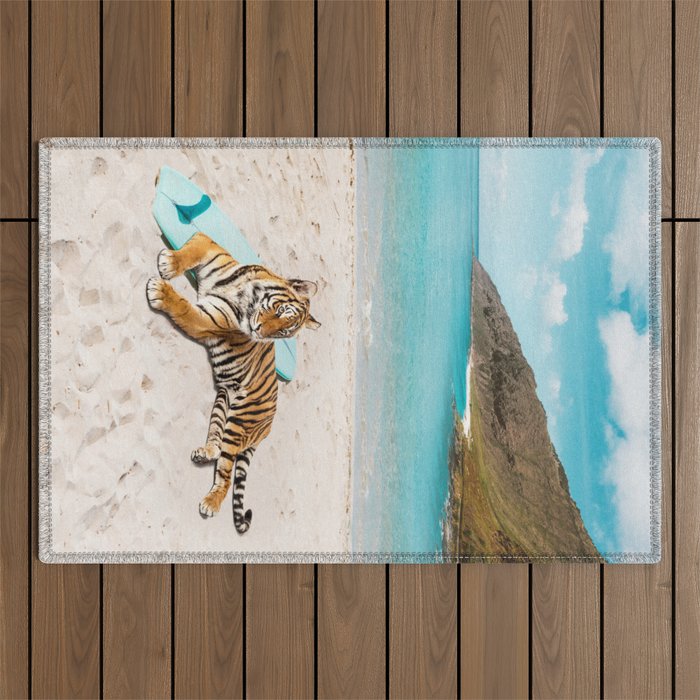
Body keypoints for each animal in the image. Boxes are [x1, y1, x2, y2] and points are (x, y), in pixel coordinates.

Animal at [145, 232, 320, 533]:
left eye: (284, 332)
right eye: (282, 312)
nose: (259, 332)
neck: (245, 294)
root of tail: (267, 430)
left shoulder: (208, 319)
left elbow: (183, 307)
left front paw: (160, 290)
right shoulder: (214, 250)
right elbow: (195, 246)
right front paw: (170, 261)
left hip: (239, 422)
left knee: (226, 473)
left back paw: (210, 503)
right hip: (221, 403)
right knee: (217, 444)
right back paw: (204, 453)